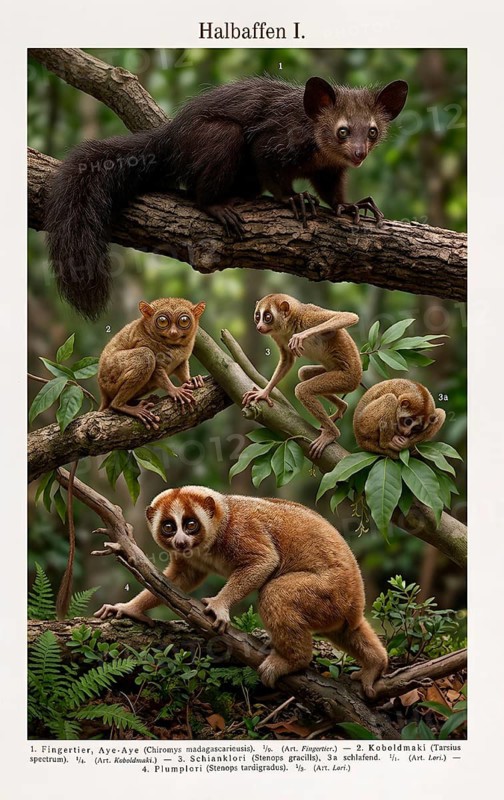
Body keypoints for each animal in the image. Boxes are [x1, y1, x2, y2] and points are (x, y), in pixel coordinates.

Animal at [44, 75, 408, 318]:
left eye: (372, 131)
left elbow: (333, 192)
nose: (359, 154)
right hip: (222, 135)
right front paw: (294, 200)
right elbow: (275, 177)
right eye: (342, 130)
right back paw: (219, 206)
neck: (317, 149)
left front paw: (350, 206)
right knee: (199, 192)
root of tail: (169, 139)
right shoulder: (270, 143)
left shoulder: (330, 170)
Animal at [95, 486, 388, 698]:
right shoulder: (190, 560)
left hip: (330, 591)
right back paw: (375, 665)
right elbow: (179, 579)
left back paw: (292, 661)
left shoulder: (242, 530)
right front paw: (128, 609)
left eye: (190, 524)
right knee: (348, 632)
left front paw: (219, 605)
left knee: (275, 593)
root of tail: (356, 599)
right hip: (338, 612)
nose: (180, 541)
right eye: (168, 527)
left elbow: (264, 561)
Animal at [98, 298, 206, 430]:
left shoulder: (183, 358)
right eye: (162, 321)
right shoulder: (144, 342)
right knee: (146, 355)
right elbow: (157, 372)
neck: (173, 346)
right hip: (111, 375)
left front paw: (191, 380)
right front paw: (176, 391)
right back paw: (126, 406)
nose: (173, 333)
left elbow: (181, 367)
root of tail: (102, 391)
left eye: (184, 321)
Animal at [242, 294, 363, 459]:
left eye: (267, 317)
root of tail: (358, 376)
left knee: (303, 390)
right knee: (303, 373)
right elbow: (287, 360)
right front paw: (264, 393)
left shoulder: (308, 318)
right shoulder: (277, 336)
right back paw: (342, 407)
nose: (259, 327)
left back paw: (332, 434)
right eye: (257, 316)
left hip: (346, 380)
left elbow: (348, 316)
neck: (289, 326)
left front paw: (300, 336)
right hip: (332, 372)